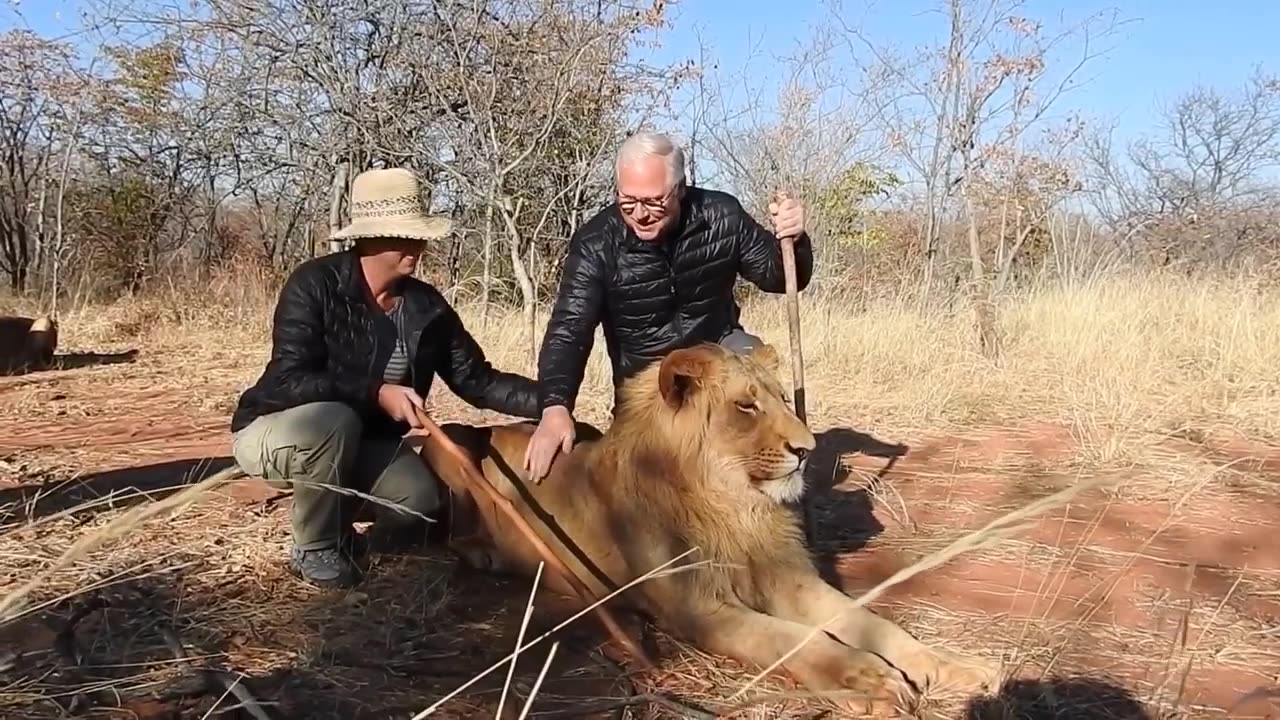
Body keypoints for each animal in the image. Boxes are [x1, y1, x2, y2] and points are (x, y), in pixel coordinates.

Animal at [419, 340, 998, 712]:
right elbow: (789, 639)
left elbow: (873, 623)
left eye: (783, 399)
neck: (734, 504)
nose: (807, 450)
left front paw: (955, 667)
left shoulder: (790, 579)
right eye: (746, 405)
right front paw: (869, 680)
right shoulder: (697, 608)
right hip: (446, 440)